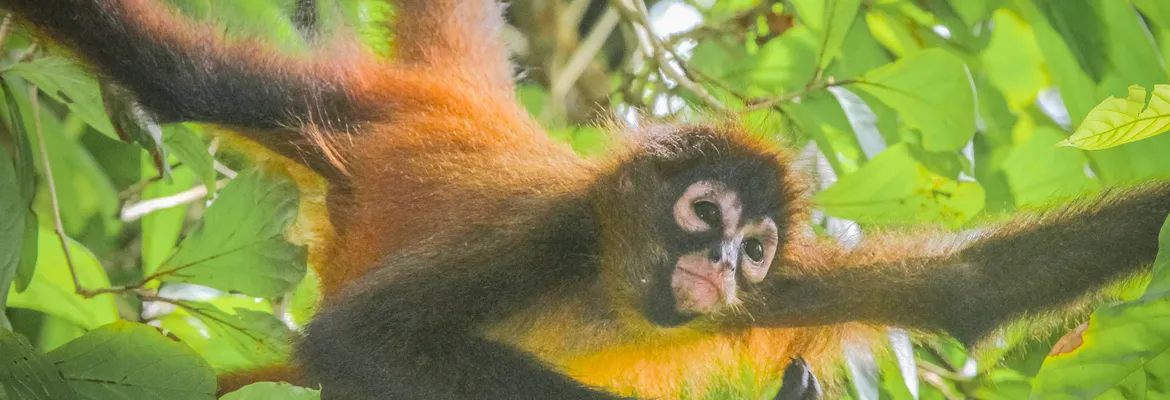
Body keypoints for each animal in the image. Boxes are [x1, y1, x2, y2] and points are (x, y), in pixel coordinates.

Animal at [4, 0, 1169, 399]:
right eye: (705, 215)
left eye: (755, 248)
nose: (721, 263)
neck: (608, 289)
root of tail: (471, 109)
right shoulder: (547, 235)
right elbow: (357, 341)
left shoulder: (784, 292)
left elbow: (970, 288)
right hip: (336, 109)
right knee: (176, 73)